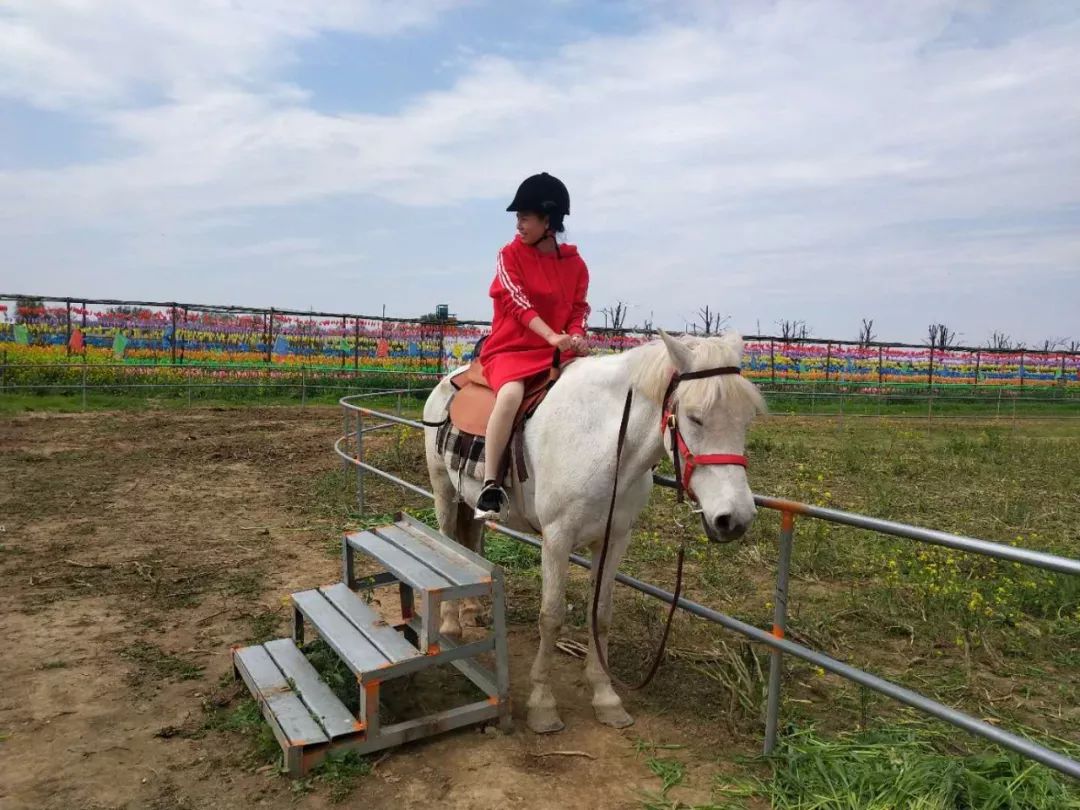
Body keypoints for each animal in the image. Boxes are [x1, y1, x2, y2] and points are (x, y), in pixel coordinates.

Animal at [423, 330, 768, 734]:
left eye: (746, 419)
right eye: (695, 418)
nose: (736, 518)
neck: (603, 442)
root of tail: (451, 378)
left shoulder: (614, 539)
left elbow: (600, 615)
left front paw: (606, 698)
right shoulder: (557, 539)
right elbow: (552, 616)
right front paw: (542, 704)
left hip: (471, 502)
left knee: (470, 544)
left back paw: (472, 611)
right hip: (444, 492)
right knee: (448, 541)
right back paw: (450, 625)